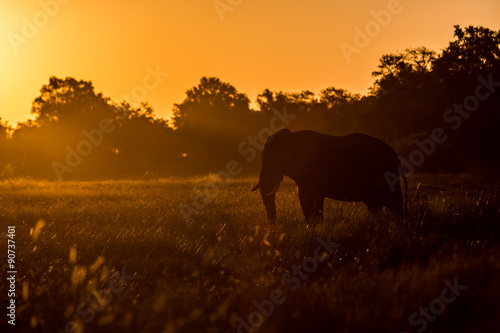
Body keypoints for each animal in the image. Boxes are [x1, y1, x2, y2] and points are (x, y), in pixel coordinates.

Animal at [252, 129, 408, 223]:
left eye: (276, 159)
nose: (272, 226)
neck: (293, 137)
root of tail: (393, 152)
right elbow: (304, 197)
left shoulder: (318, 168)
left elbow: (309, 196)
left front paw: (314, 226)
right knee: (375, 205)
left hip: (387, 174)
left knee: (394, 203)